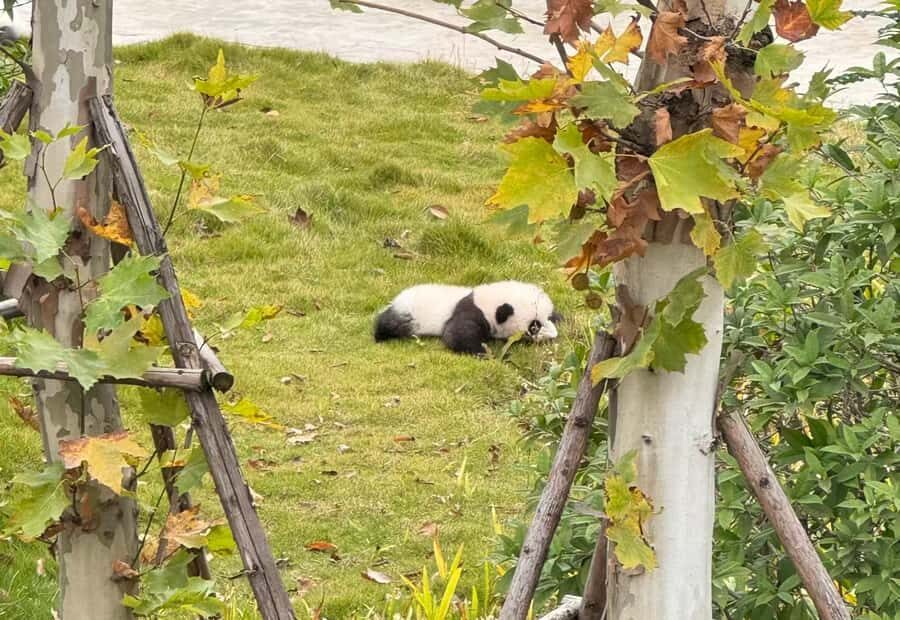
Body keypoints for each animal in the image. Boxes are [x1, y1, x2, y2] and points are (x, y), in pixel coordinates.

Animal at [374, 281, 562, 355]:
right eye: (534, 326)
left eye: (549, 317)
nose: (554, 335)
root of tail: (397, 299)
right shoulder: (472, 311)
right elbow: (455, 335)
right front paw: (487, 353)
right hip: (409, 314)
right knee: (388, 324)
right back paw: (380, 336)